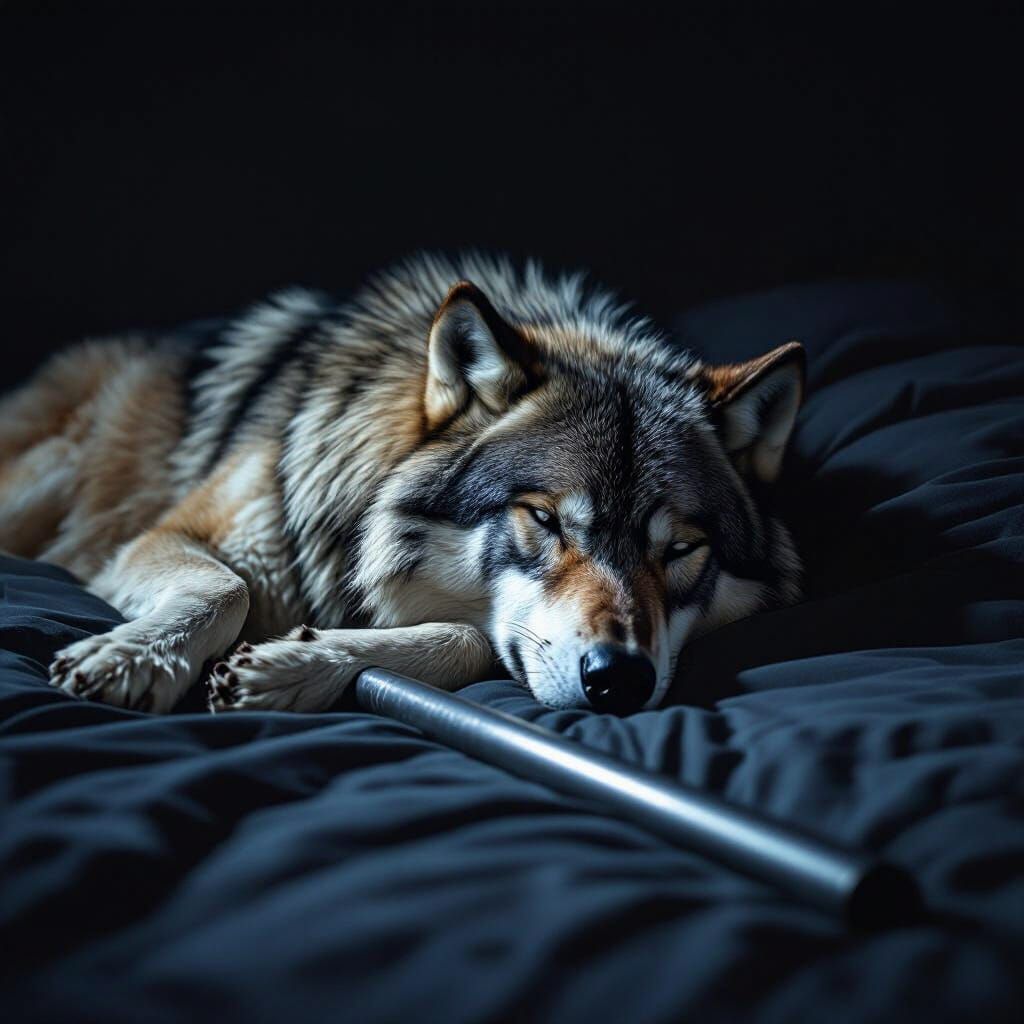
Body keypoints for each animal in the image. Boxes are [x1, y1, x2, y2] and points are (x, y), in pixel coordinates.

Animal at [0, 254, 804, 715]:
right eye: (544, 521)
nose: (621, 680)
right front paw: (133, 657)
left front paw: (292, 666)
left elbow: (466, 637)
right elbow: (223, 588)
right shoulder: (168, 534)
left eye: (681, 551)